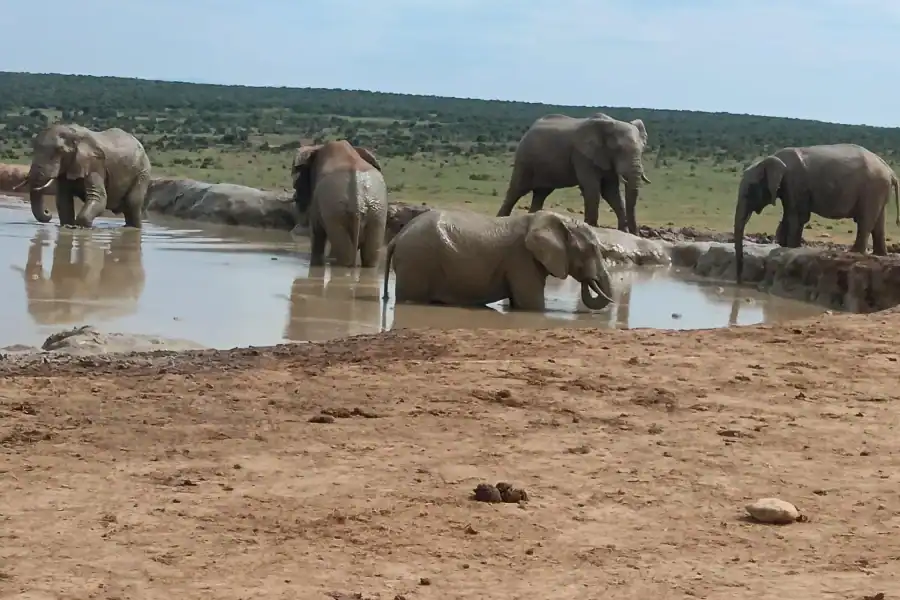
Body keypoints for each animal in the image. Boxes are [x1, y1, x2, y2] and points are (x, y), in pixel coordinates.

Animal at [14, 123, 152, 228]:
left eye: (60, 151)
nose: (48, 212)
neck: (74, 134)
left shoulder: (94, 165)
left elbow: (98, 198)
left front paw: (80, 227)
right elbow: (63, 199)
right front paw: (67, 226)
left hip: (143, 172)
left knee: (132, 202)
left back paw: (132, 228)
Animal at [382, 209, 615, 311]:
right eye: (591, 249)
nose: (589, 279)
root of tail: (397, 237)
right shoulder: (521, 259)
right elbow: (532, 305)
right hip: (417, 261)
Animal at [495, 113, 652, 235]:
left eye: (642, 150)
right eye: (618, 150)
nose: (636, 233)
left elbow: (611, 193)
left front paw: (623, 233)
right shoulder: (582, 155)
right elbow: (593, 188)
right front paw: (592, 228)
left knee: (540, 194)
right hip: (525, 159)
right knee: (516, 190)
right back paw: (500, 220)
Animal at [734, 143, 900, 283]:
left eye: (750, 189)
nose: (739, 280)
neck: (771, 159)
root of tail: (890, 171)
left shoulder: (795, 183)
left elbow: (797, 216)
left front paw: (791, 248)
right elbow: (788, 215)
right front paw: (785, 246)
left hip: (872, 188)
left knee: (865, 221)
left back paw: (854, 252)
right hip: (879, 189)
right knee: (878, 222)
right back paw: (880, 255)